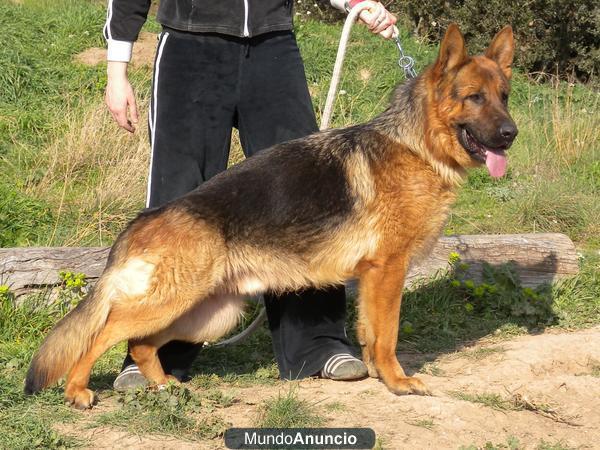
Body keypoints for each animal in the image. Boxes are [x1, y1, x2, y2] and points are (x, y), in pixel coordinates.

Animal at [27, 23, 516, 408]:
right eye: (474, 98)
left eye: (504, 97)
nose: (511, 133)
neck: (418, 145)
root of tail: (145, 220)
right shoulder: (388, 270)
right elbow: (388, 334)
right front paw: (398, 382)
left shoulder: (374, 277)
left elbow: (371, 333)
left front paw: (380, 376)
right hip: (173, 302)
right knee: (102, 333)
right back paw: (78, 391)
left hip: (207, 314)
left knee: (141, 343)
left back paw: (165, 385)